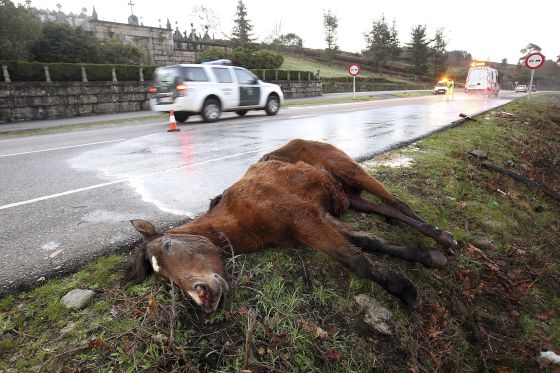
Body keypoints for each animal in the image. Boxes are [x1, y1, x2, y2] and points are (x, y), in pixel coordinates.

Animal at [131, 138, 456, 310]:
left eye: (169, 245)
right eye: (165, 279)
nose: (203, 297)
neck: (241, 214)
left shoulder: (304, 220)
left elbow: (357, 262)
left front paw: (405, 290)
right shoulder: (320, 219)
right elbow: (370, 242)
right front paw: (426, 259)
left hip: (352, 172)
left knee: (399, 204)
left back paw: (446, 238)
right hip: (350, 199)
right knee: (389, 210)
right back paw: (440, 243)